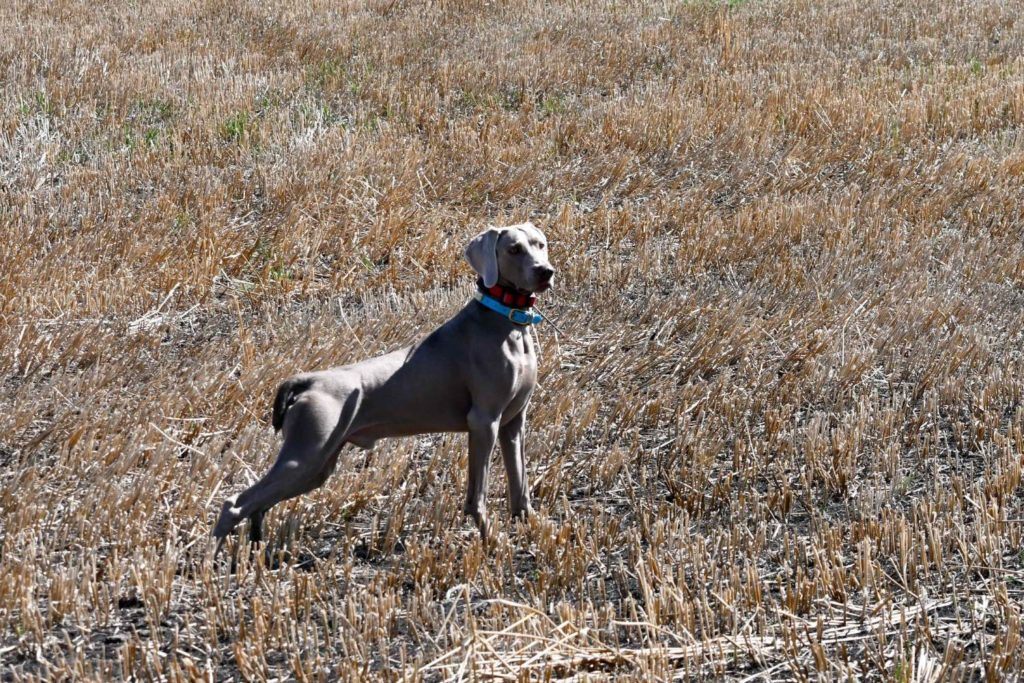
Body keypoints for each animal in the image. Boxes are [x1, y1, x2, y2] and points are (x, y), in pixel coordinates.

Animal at [210, 223, 557, 544]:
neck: (507, 321)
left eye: (540, 244)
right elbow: (477, 495)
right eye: (513, 249)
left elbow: (520, 486)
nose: (545, 271)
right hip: (306, 455)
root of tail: (307, 381)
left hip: (317, 465)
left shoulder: (513, 422)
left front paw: (534, 527)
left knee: (257, 506)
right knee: (233, 504)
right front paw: (491, 540)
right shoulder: (484, 422)